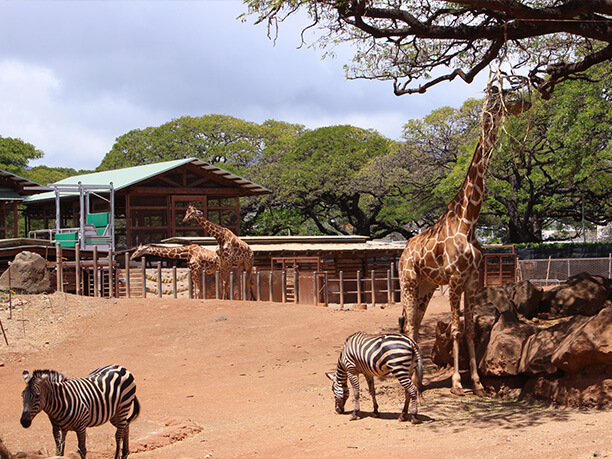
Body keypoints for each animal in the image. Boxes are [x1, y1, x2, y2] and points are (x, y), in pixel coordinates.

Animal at [400, 85, 528, 396]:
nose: (526, 102)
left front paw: (479, 383)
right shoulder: (456, 278)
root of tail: (403, 251)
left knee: (416, 323)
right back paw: (411, 383)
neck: (469, 220)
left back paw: (419, 381)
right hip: (409, 281)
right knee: (409, 327)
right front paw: (458, 383)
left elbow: (469, 329)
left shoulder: (471, 280)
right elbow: (455, 329)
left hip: (427, 287)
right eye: (504, 94)